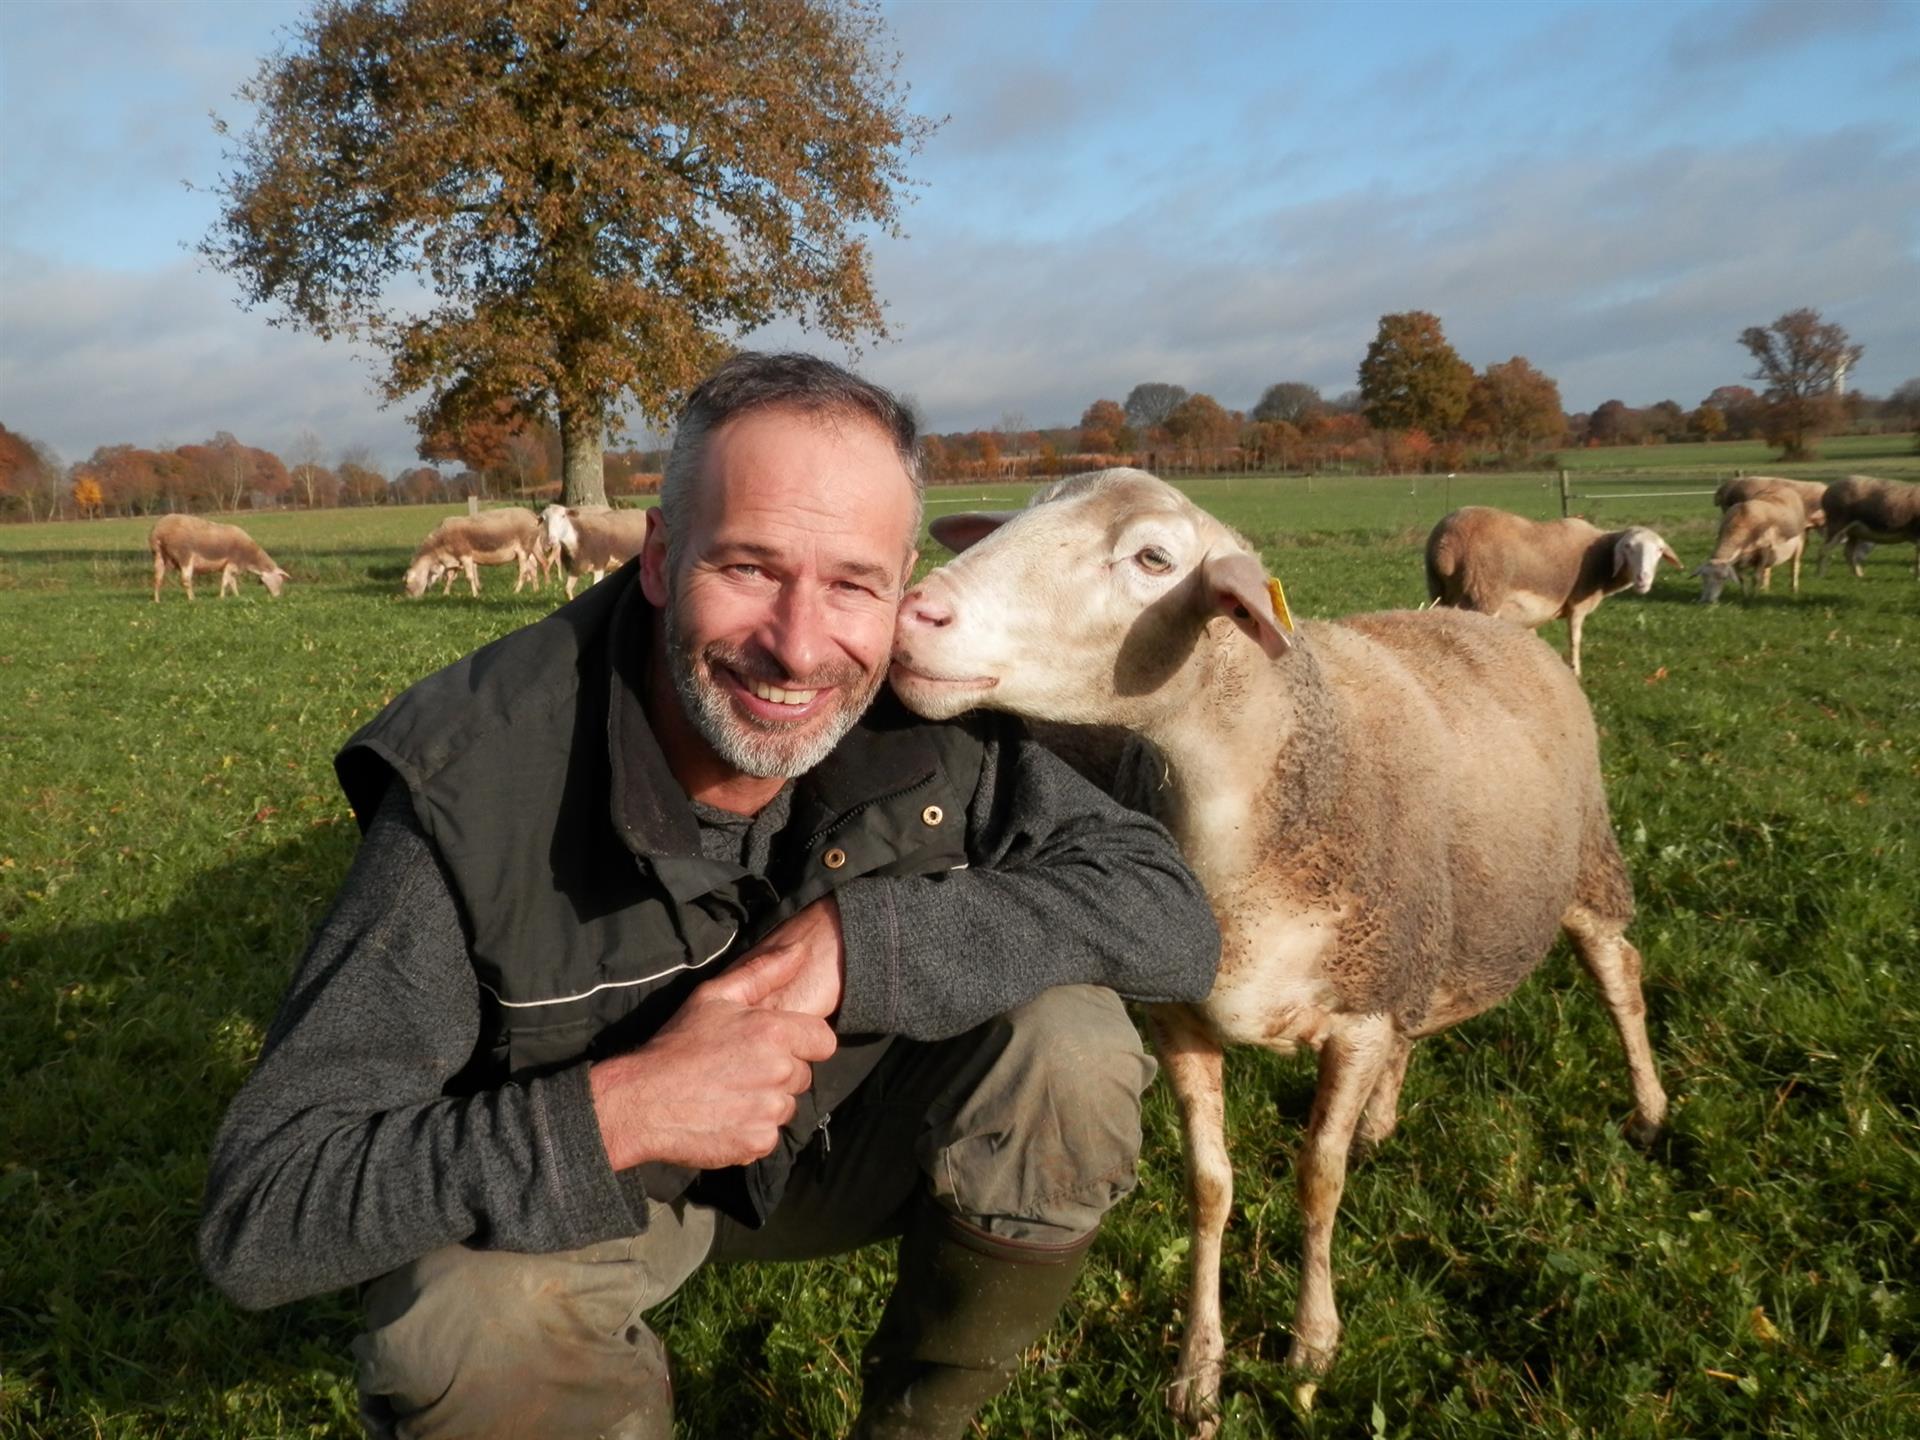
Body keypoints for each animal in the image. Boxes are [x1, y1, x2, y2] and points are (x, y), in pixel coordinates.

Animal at [149, 514, 288, 602]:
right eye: (280, 580)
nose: (277, 597)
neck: (251, 558)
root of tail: (159, 531)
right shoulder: (232, 563)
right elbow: (225, 581)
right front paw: (221, 597)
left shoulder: (232, 567)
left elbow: (232, 582)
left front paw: (237, 596)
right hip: (185, 555)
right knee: (186, 579)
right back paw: (192, 599)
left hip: (159, 555)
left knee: (157, 579)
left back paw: (157, 601)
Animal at [403, 510, 545, 599]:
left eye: (407, 584)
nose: (410, 599)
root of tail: (534, 516)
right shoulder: (455, 560)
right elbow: (450, 578)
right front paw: (445, 594)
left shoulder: (465, 555)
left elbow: (470, 577)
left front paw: (475, 595)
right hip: (529, 550)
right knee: (533, 568)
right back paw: (536, 590)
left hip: (523, 550)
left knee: (523, 572)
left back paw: (516, 591)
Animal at [1428, 506, 1681, 683]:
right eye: (1628, 547)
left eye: (1659, 550)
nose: (1643, 579)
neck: (1602, 556)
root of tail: (1445, 546)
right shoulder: (1578, 602)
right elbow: (1575, 638)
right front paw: (1575, 671)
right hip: (1484, 594)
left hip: (1440, 593)